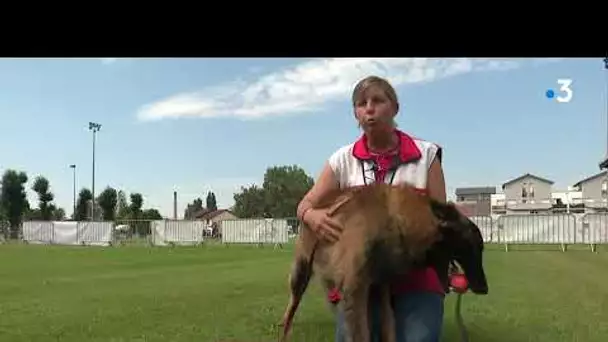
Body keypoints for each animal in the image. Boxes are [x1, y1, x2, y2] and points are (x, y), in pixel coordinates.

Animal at [278, 183, 486, 342]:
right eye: (473, 247)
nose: (484, 288)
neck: (395, 220)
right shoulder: (355, 289)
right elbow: (361, 334)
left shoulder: (380, 286)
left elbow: (388, 327)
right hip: (300, 274)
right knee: (291, 310)